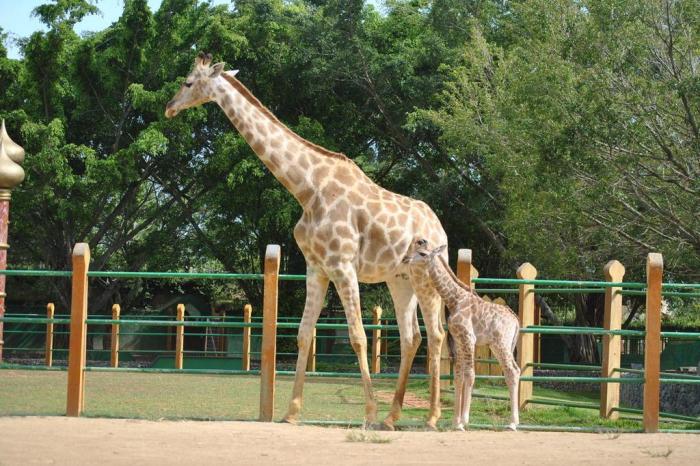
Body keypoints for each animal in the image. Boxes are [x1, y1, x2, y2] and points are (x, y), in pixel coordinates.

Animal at [166, 52, 446, 428]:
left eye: (188, 82)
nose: (169, 108)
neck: (306, 189)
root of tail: (441, 229)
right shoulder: (317, 268)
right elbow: (302, 335)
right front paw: (291, 412)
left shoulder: (342, 266)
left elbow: (357, 337)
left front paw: (368, 414)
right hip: (399, 278)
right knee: (411, 337)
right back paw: (393, 417)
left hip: (426, 279)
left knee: (437, 335)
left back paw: (430, 418)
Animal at [404, 242, 520, 432]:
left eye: (422, 253)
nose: (405, 259)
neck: (454, 299)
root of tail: (516, 320)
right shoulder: (458, 340)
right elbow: (459, 376)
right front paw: (455, 422)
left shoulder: (468, 337)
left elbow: (470, 374)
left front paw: (464, 420)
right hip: (497, 345)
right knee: (514, 371)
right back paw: (513, 422)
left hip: (501, 343)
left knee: (512, 371)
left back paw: (512, 423)